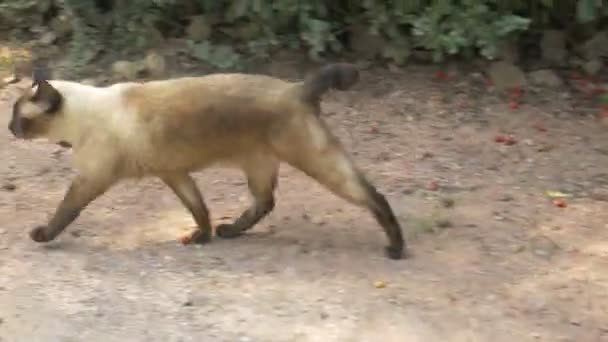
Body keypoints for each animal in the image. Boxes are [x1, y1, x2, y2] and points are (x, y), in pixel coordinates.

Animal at [7, 62, 406, 260]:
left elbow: (64, 212)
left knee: (373, 195)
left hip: (316, 162)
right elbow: (198, 208)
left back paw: (396, 248)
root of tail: (297, 88)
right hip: (257, 163)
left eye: (17, 115)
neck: (82, 116)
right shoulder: (174, 173)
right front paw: (202, 236)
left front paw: (42, 236)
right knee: (265, 202)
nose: (9, 128)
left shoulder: (90, 179)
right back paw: (229, 232)